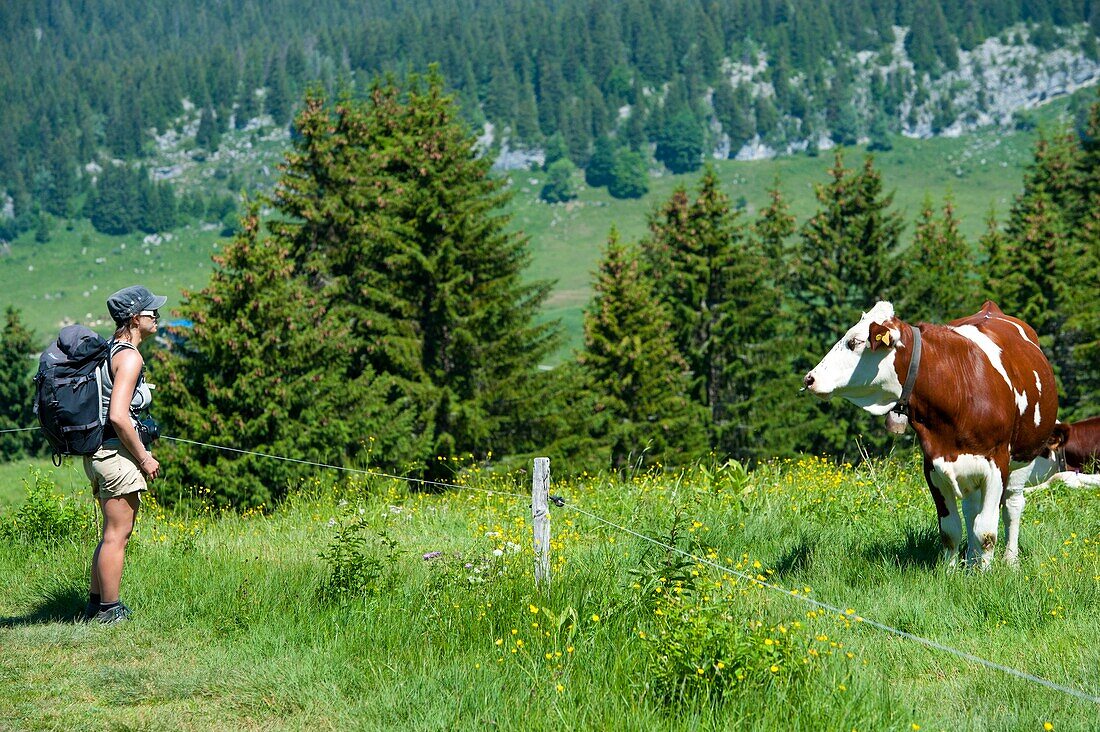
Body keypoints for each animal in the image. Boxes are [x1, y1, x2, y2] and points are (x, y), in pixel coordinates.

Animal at [809, 299, 1056, 567]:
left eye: (854, 342)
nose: (810, 378)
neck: (957, 387)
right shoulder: (933, 466)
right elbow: (951, 530)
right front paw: (950, 571)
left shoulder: (996, 464)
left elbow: (987, 532)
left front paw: (986, 572)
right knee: (971, 510)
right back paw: (971, 560)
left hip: (1022, 460)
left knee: (1013, 506)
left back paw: (1010, 560)